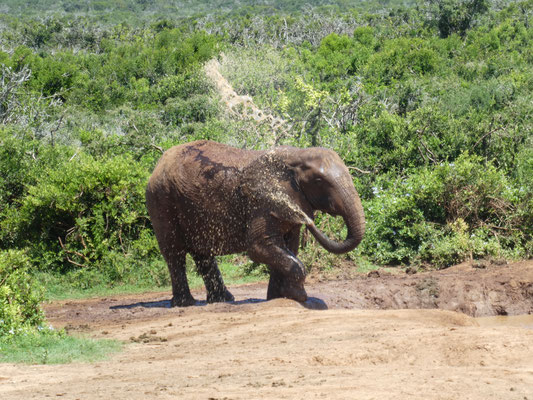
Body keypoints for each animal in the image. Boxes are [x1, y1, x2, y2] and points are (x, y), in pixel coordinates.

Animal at [144, 139, 366, 304]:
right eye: (319, 181)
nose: (309, 221)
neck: (296, 156)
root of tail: (158, 164)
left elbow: (289, 247)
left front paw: (279, 297)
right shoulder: (261, 202)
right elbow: (260, 247)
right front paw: (299, 297)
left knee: (202, 255)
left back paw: (223, 300)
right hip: (161, 201)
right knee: (175, 254)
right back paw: (185, 303)